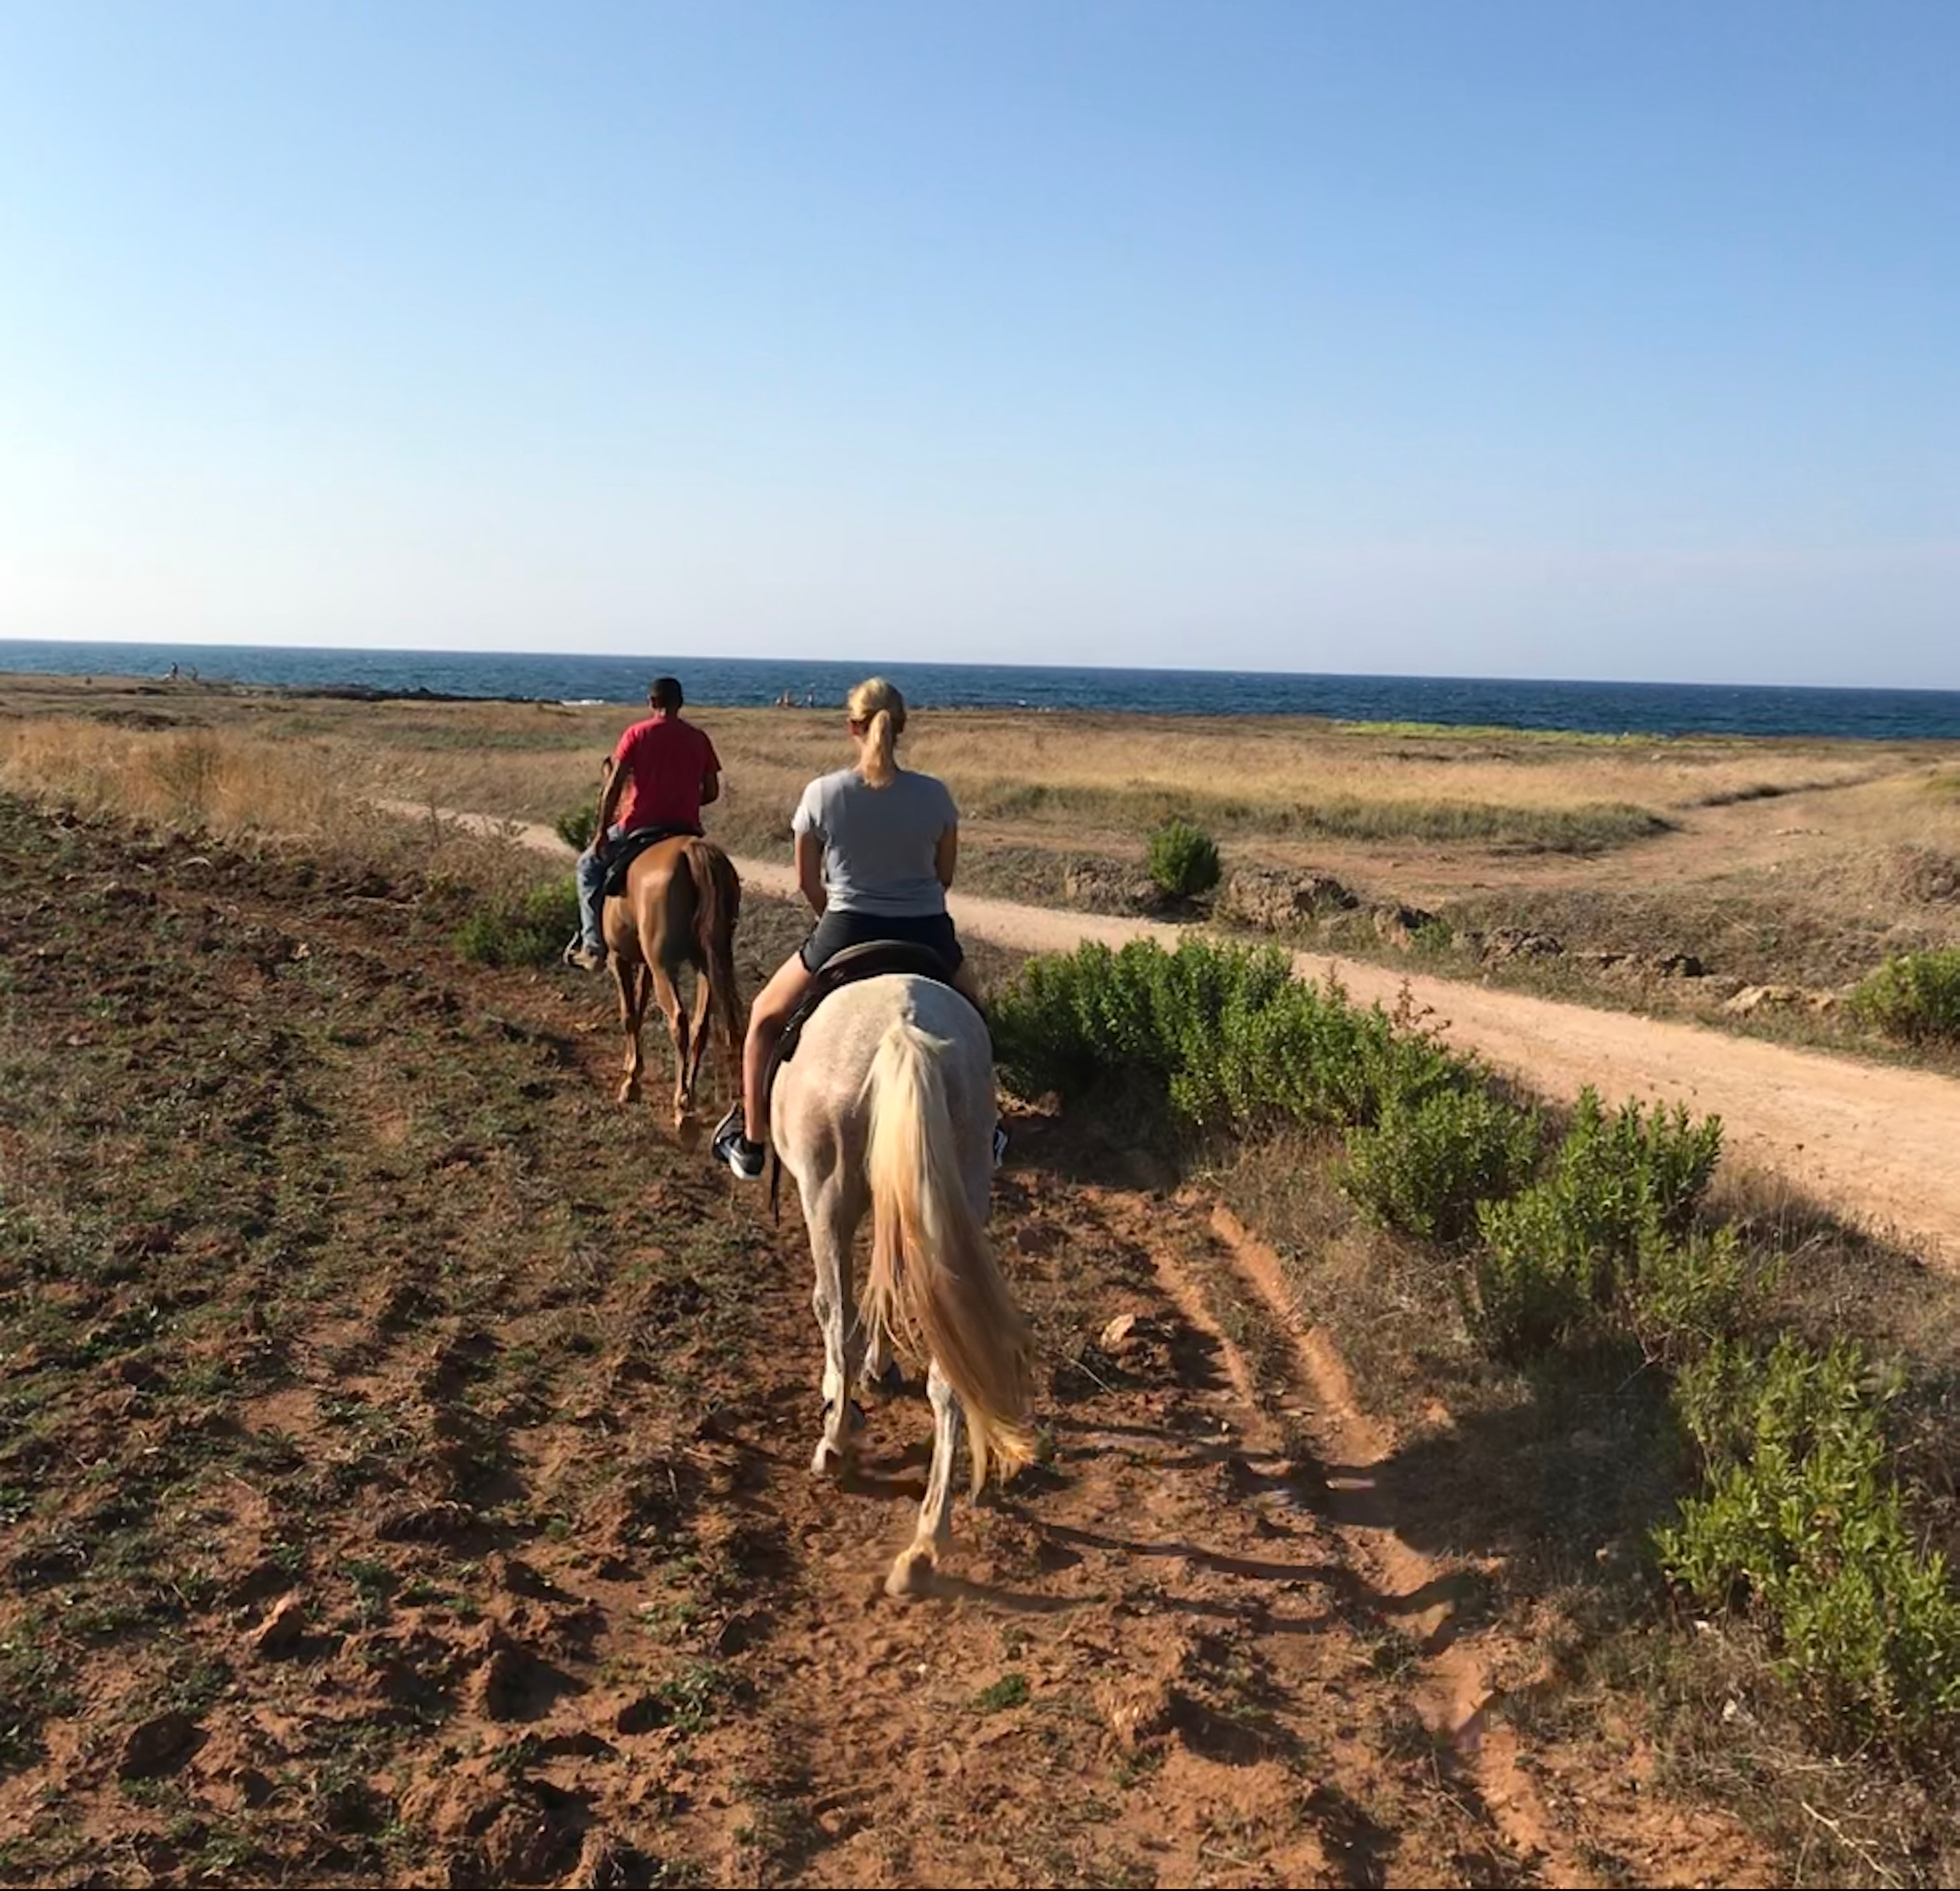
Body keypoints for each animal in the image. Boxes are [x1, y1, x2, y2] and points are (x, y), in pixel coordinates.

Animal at [603, 835, 744, 1134]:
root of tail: (690, 850)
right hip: (707, 963)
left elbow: (629, 1016)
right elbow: (639, 1009)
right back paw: (690, 1098)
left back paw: (682, 1108)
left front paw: (631, 1083)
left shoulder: (620, 958)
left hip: (665, 967)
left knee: (679, 1022)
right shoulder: (646, 964)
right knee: (700, 1027)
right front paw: (634, 1067)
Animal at [772, 970, 1035, 1597]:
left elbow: (843, 1309)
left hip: (827, 1195)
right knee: (950, 1373)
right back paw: (924, 1544)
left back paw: (835, 1444)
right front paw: (881, 1365)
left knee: (836, 1313)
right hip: (952, 1195)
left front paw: (844, 1393)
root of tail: (901, 1029)